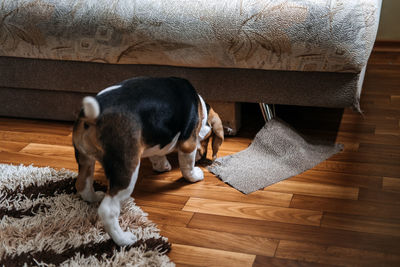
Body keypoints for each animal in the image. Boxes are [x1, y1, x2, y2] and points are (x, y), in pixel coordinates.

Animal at [72, 76, 222, 246]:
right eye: (208, 139)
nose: (203, 158)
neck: (200, 106)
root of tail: (91, 116)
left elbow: (157, 155)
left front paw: (162, 166)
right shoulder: (188, 143)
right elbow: (187, 165)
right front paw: (194, 176)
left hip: (85, 159)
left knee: (82, 184)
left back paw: (93, 197)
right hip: (126, 170)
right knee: (108, 210)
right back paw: (123, 239)